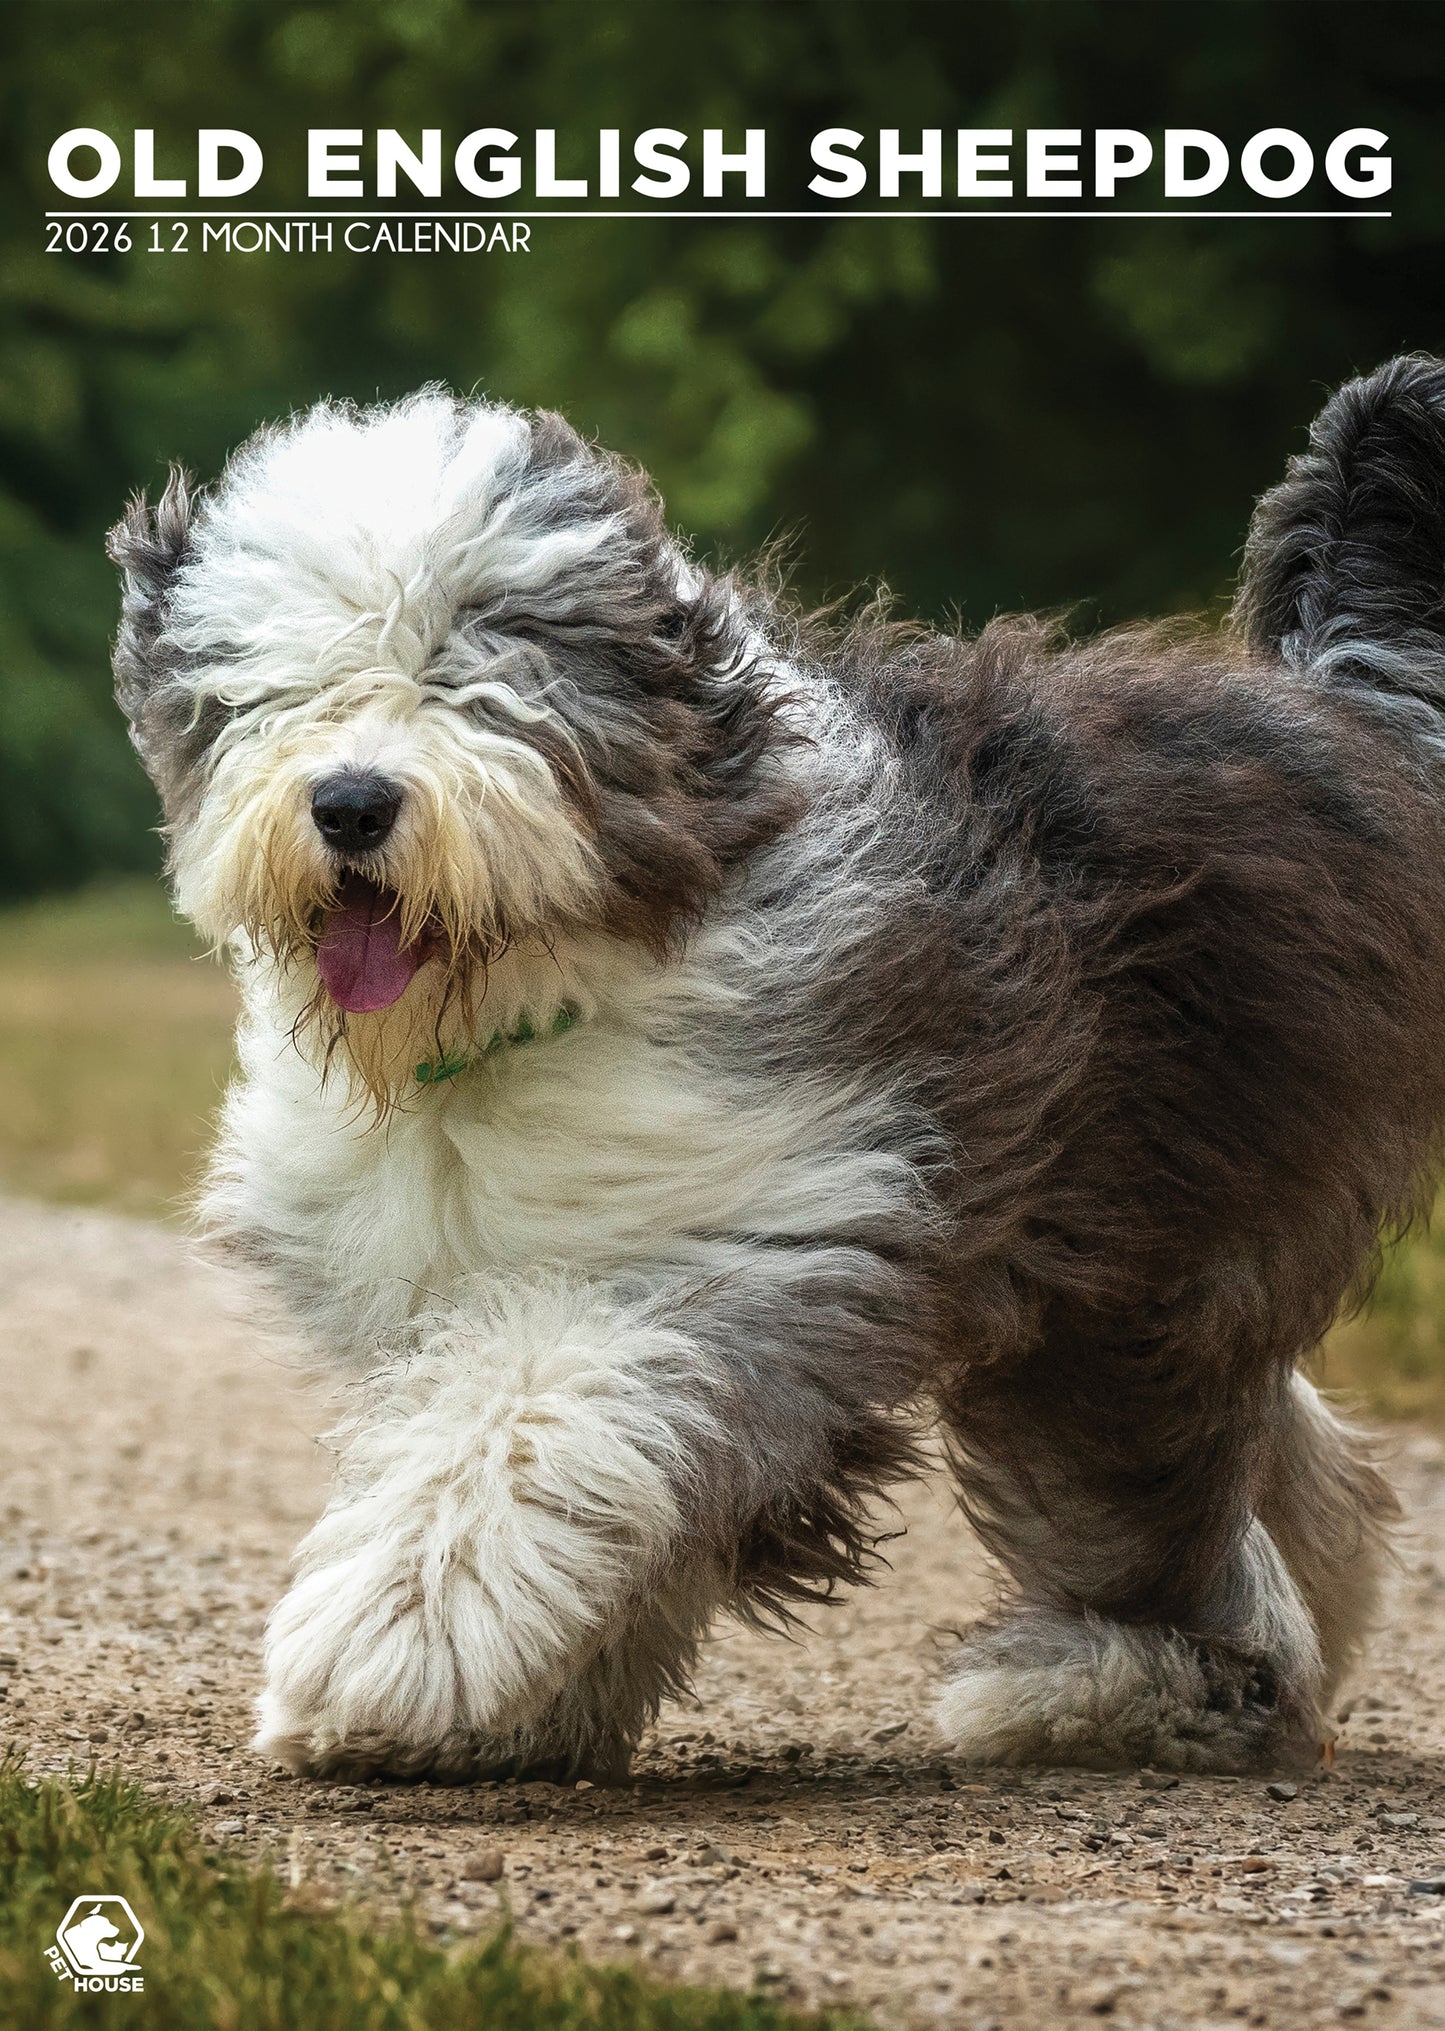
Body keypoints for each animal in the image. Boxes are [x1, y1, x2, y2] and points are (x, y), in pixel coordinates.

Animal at [107, 361, 1445, 1779]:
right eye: (275, 690)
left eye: (475, 671)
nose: (351, 802)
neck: (521, 1018)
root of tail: (1336, 713)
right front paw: (523, 1705)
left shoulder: (770, 1235)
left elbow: (534, 1414)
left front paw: (394, 1634)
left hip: (1133, 1265)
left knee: (1150, 1499)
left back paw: (1122, 1689)